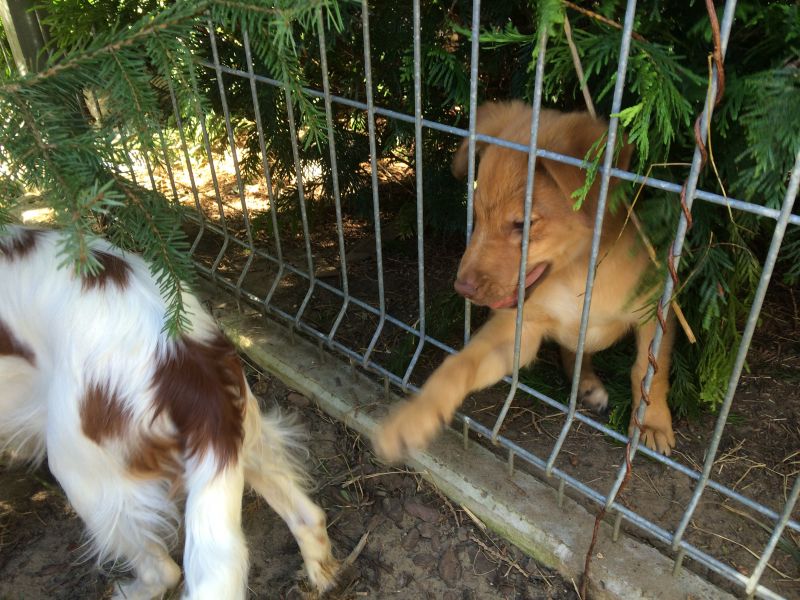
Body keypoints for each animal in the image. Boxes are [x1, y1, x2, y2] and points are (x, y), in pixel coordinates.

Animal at [0, 226, 338, 599]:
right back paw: (320, 575)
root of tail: (187, 373)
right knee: (309, 515)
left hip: (81, 474)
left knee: (164, 571)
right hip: (245, 440)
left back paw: (129, 591)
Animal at [374, 101, 676, 462]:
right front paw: (414, 416)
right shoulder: (521, 330)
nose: (462, 288)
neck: (575, 278)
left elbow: (648, 372)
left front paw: (653, 423)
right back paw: (587, 385)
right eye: (476, 214)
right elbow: (461, 363)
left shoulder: (655, 310)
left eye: (523, 224)